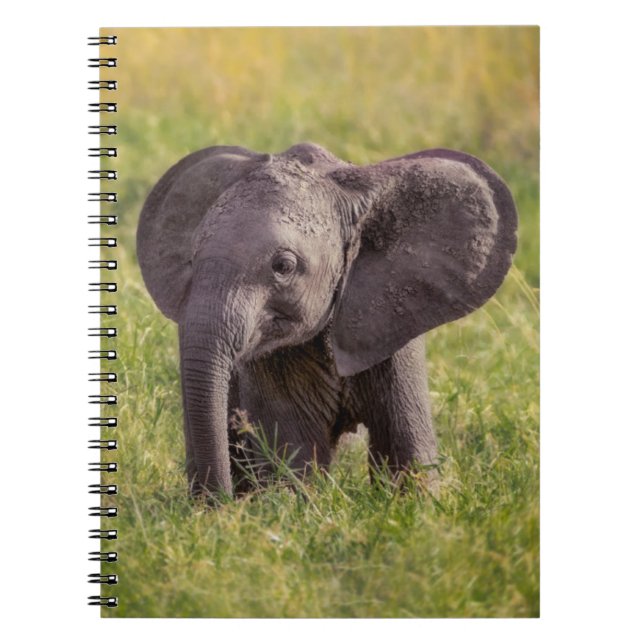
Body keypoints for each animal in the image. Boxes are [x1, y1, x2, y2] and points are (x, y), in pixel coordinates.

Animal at [137, 142, 517, 497]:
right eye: (192, 258)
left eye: (284, 266)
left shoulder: (393, 329)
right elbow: (293, 453)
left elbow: (405, 450)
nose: (221, 504)